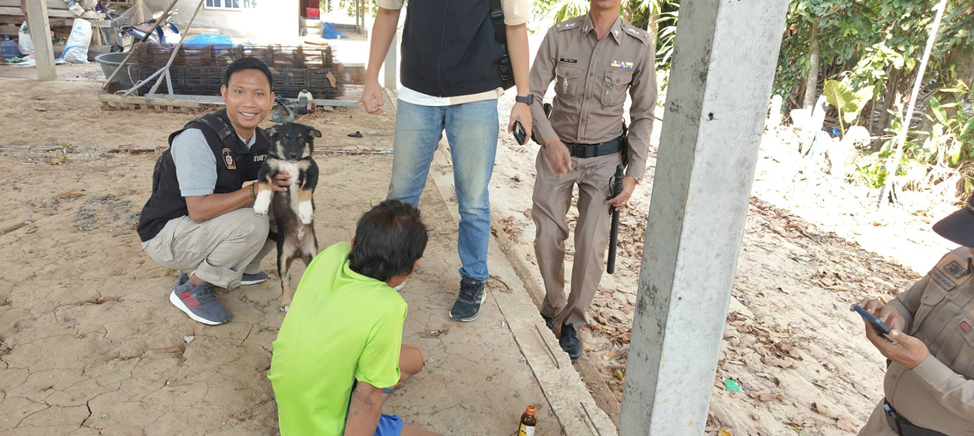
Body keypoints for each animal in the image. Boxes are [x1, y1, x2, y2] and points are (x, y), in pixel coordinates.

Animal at [253, 122, 321, 312]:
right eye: (285, 138)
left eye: (301, 139)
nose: (293, 155)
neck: (289, 163)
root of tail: (298, 251)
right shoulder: (266, 168)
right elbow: (264, 185)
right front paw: (260, 206)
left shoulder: (312, 171)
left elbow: (305, 190)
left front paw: (306, 213)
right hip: (282, 258)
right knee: (285, 282)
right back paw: (285, 303)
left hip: (312, 256)